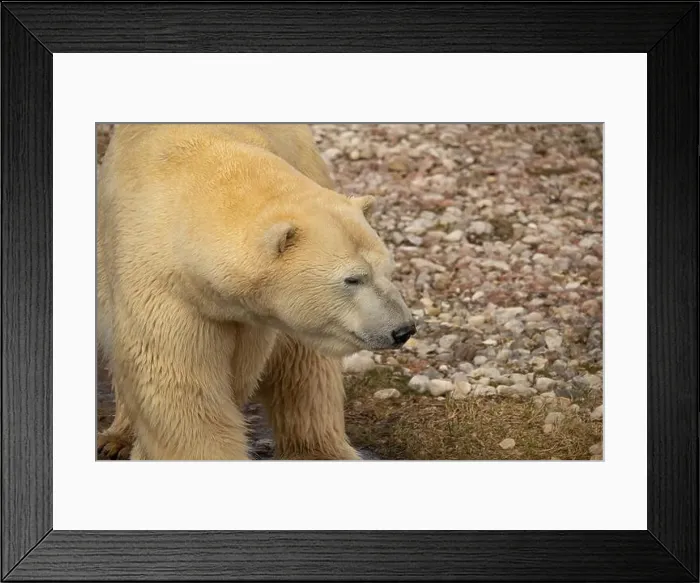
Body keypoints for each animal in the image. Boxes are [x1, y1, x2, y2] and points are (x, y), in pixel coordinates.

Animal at [96, 123, 416, 460]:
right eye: (352, 279)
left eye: (389, 269)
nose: (403, 329)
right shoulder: (165, 288)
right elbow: (178, 384)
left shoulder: (252, 318)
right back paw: (116, 438)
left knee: (306, 369)